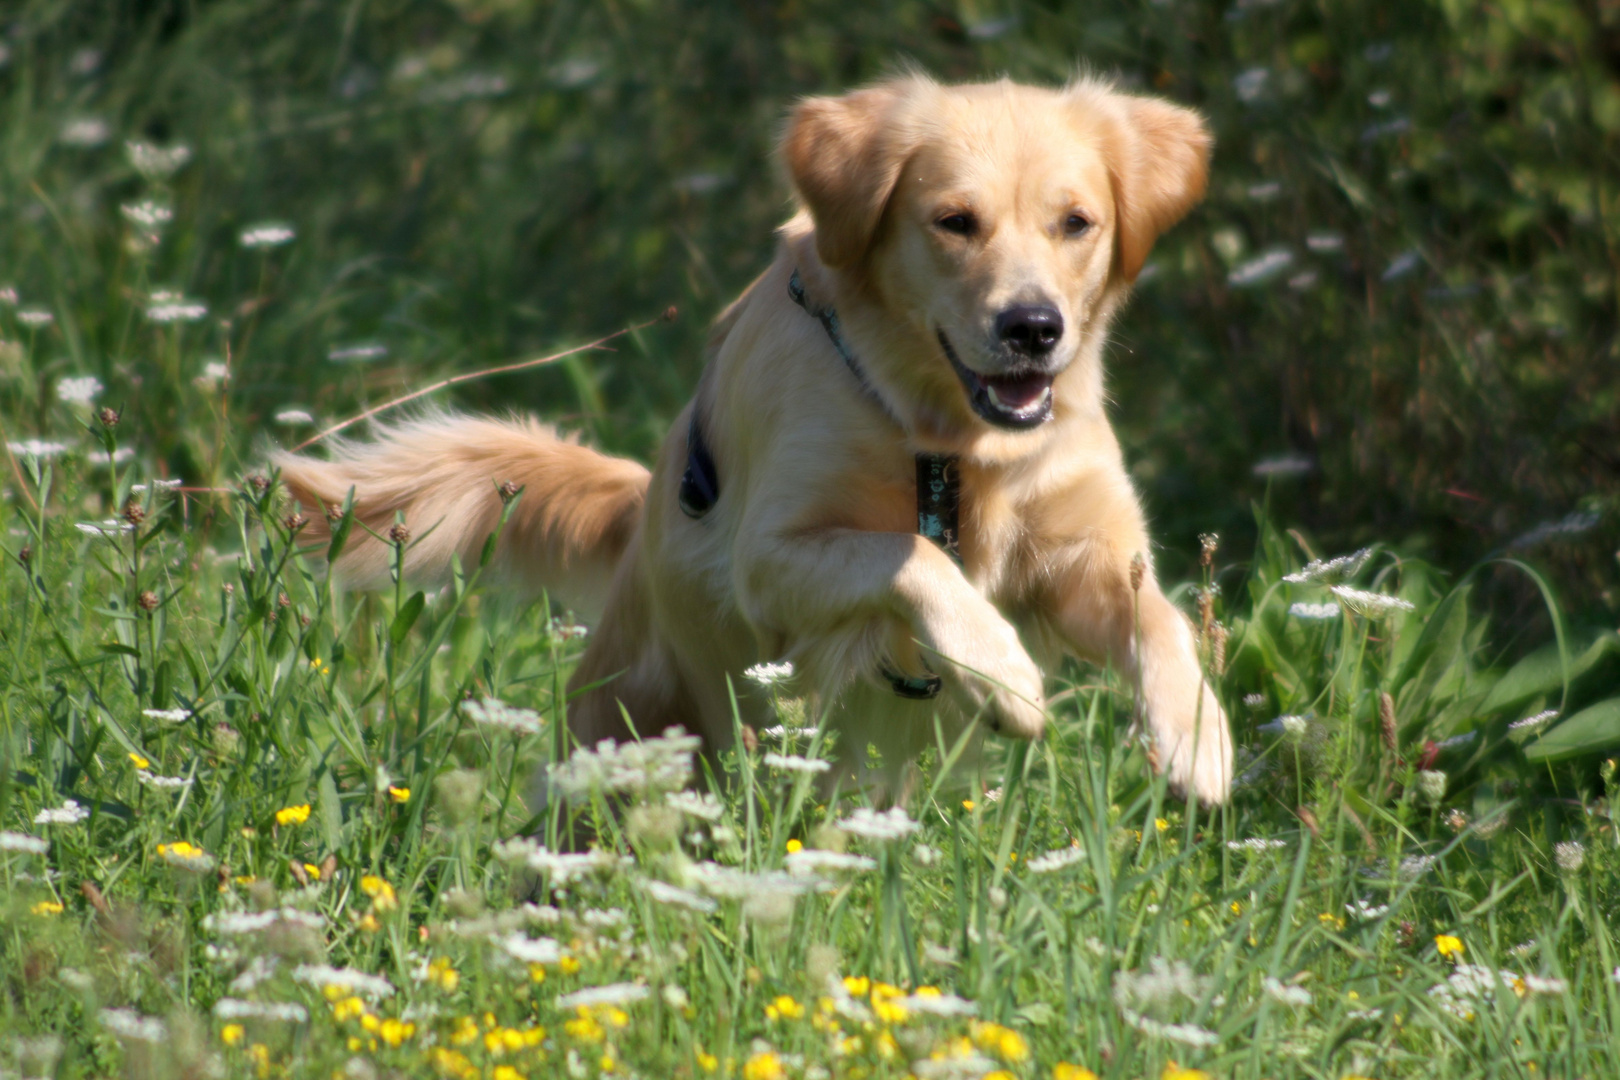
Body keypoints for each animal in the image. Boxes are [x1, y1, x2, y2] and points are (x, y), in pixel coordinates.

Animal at [281, 69, 1237, 803]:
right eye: (954, 221)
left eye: (1076, 222)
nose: (1033, 327)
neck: (945, 440)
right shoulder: (771, 557)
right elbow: (913, 555)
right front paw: (1001, 672)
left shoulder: (1083, 555)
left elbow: (1160, 620)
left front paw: (1199, 739)